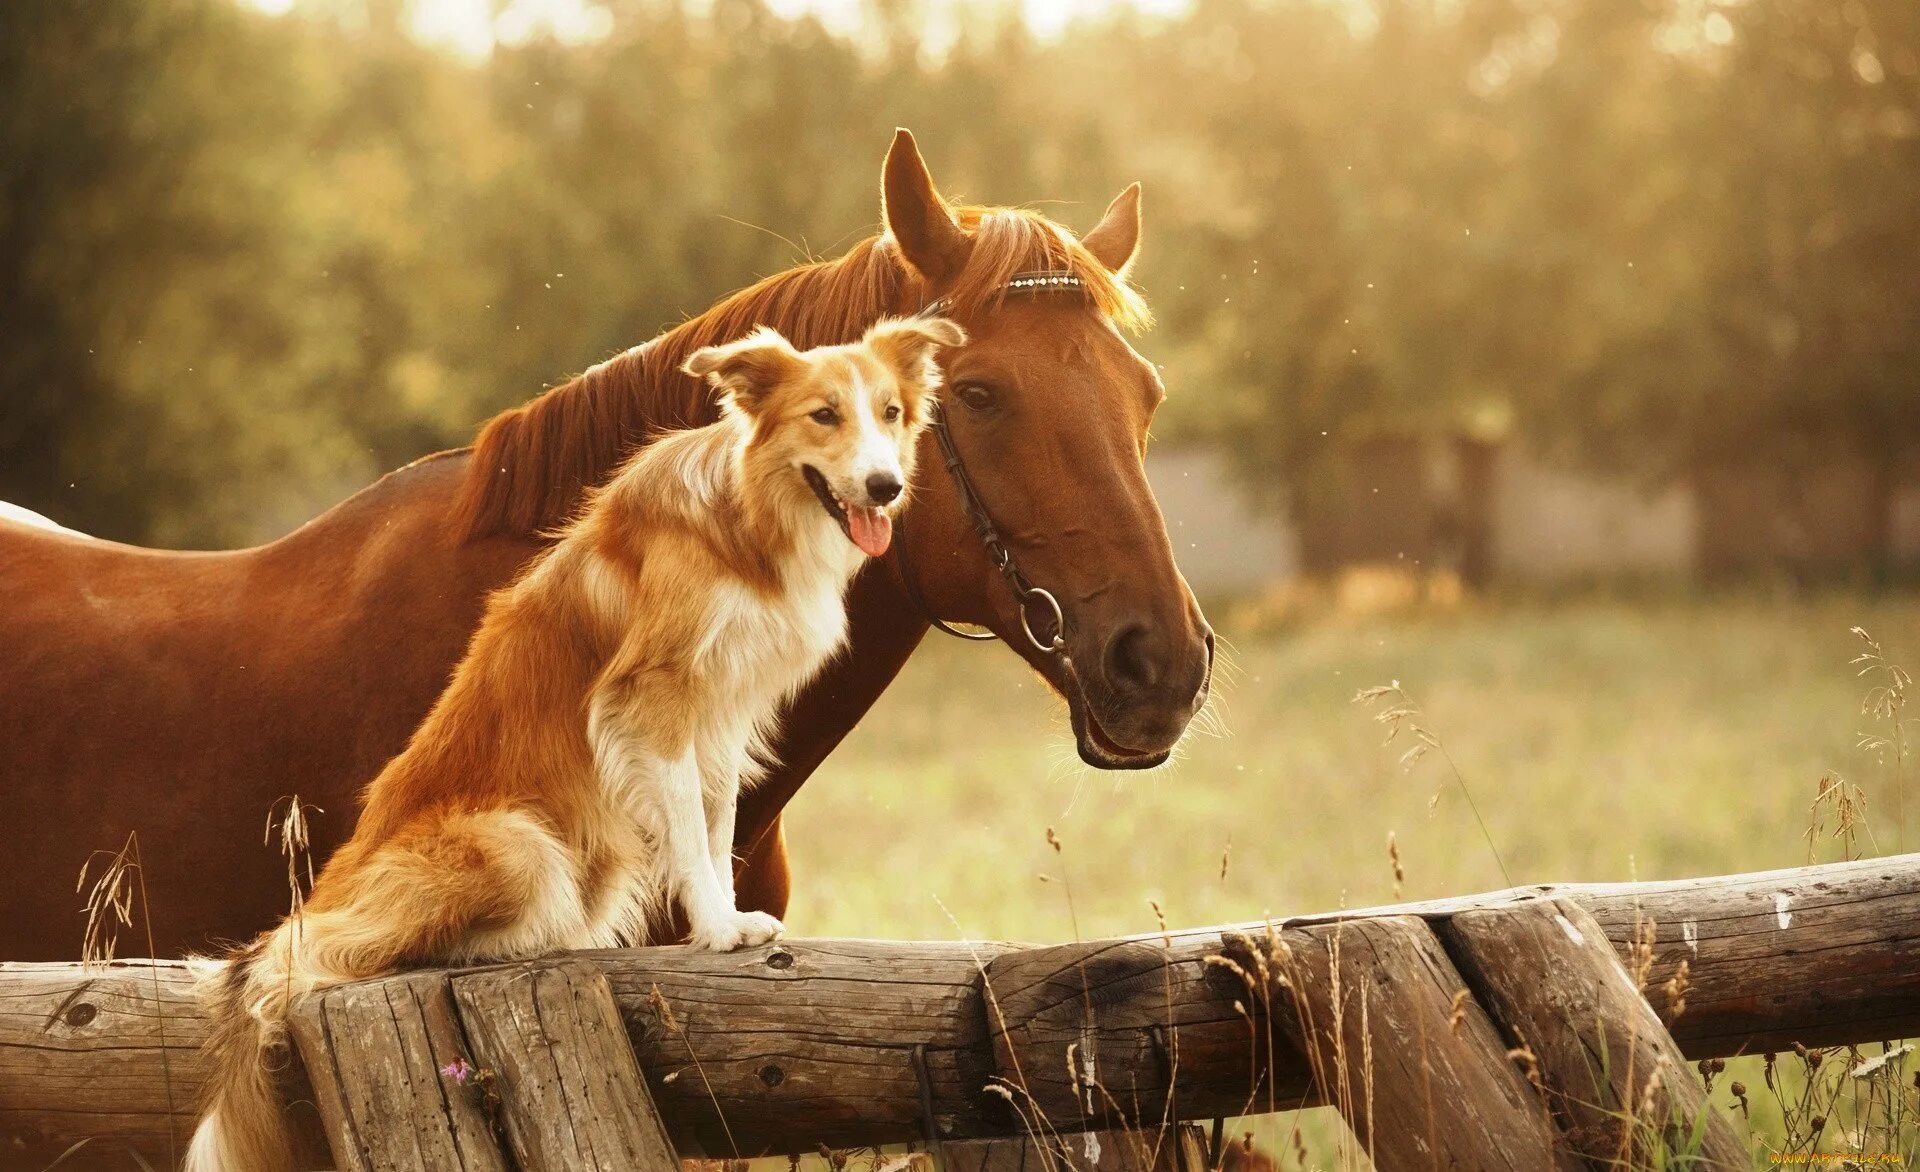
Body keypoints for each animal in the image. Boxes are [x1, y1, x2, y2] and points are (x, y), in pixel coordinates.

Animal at [183, 313, 960, 1168]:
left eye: (890, 414)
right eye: (824, 415)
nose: (887, 486)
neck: (747, 520)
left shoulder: (723, 715)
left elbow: (716, 826)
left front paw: (728, 919)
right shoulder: (653, 700)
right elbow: (689, 830)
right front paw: (719, 931)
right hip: (519, 845)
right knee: (304, 962)